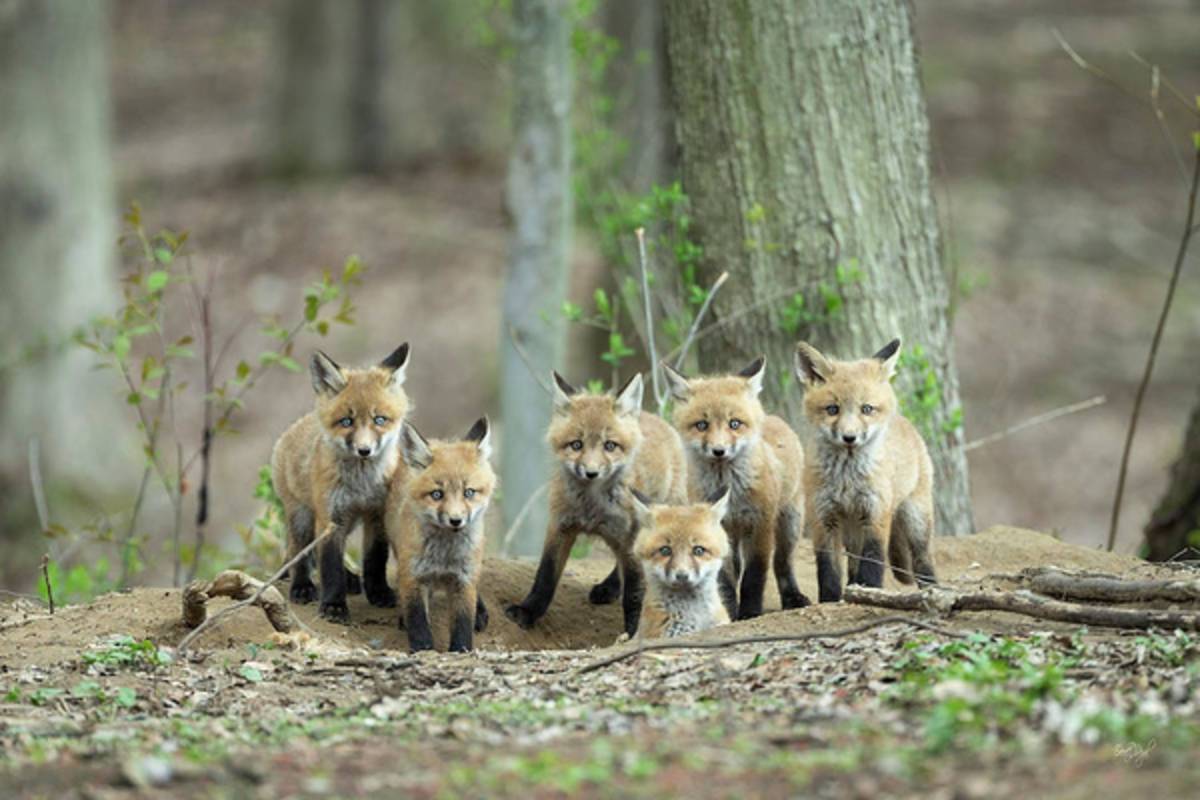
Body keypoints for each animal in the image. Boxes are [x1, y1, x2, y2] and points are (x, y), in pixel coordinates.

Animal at [271, 343, 411, 622]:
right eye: (346, 422)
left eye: (379, 419)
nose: (364, 450)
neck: (361, 485)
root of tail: (293, 428)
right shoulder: (330, 518)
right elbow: (329, 565)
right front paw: (334, 605)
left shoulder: (376, 514)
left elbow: (375, 559)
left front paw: (378, 592)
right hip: (302, 516)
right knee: (298, 552)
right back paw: (302, 586)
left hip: (348, 519)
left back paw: (352, 580)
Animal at [388, 418, 494, 653]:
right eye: (437, 494)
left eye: (469, 492)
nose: (455, 520)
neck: (444, 556)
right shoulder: (413, 576)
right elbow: (418, 620)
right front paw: (423, 649)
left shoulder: (463, 579)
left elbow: (463, 621)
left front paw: (461, 650)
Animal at [505, 372, 687, 637]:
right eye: (576, 444)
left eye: (610, 445)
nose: (591, 472)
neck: (591, 506)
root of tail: (652, 416)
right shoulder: (560, 525)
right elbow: (545, 576)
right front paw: (527, 611)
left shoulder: (629, 534)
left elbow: (634, 592)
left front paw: (633, 631)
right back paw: (609, 588)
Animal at [662, 357, 809, 620]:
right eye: (702, 425)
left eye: (735, 424)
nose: (719, 451)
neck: (730, 491)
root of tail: (774, 418)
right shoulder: (717, 527)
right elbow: (726, 579)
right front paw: (730, 611)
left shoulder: (760, 524)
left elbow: (754, 576)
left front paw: (749, 612)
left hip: (790, 522)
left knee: (782, 563)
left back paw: (793, 597)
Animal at [792, 338, 938, 602]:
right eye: (832, 409)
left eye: (867, 409)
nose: (849, 437)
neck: (847, 479)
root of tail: (905, 422)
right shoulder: (823, 517)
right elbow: (828, 570)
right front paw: (831, 600)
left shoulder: (875, 513)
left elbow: (873, 561)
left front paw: (870, 591)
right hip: (851, 529)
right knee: (852, 565)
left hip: (916, 518)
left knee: (923, 559)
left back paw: (933, 589)